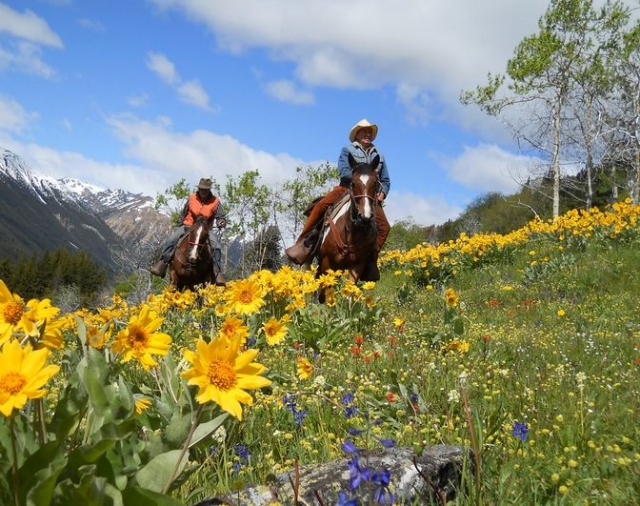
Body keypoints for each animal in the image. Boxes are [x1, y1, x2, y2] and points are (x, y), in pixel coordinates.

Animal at [313, 153, 380, 302]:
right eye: (353, 183)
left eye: (375, 183)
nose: (365, 217)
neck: (350, 233)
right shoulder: (327, 263)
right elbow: (324, 292)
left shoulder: (357, 266)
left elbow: (349, 293)